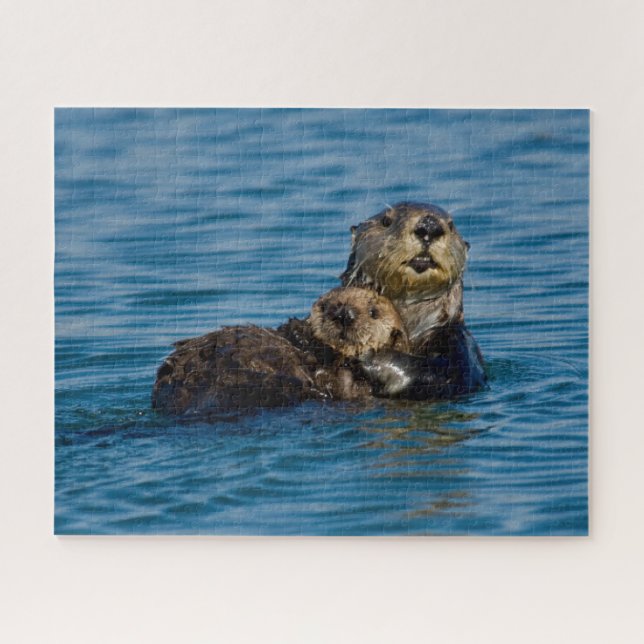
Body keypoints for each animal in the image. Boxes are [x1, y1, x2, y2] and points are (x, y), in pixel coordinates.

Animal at [341, 201, 486, 400]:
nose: (429, 226)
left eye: (451, 225)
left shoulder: (460, 345)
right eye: (386, 221)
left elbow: (442, 376)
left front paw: (367, 355)